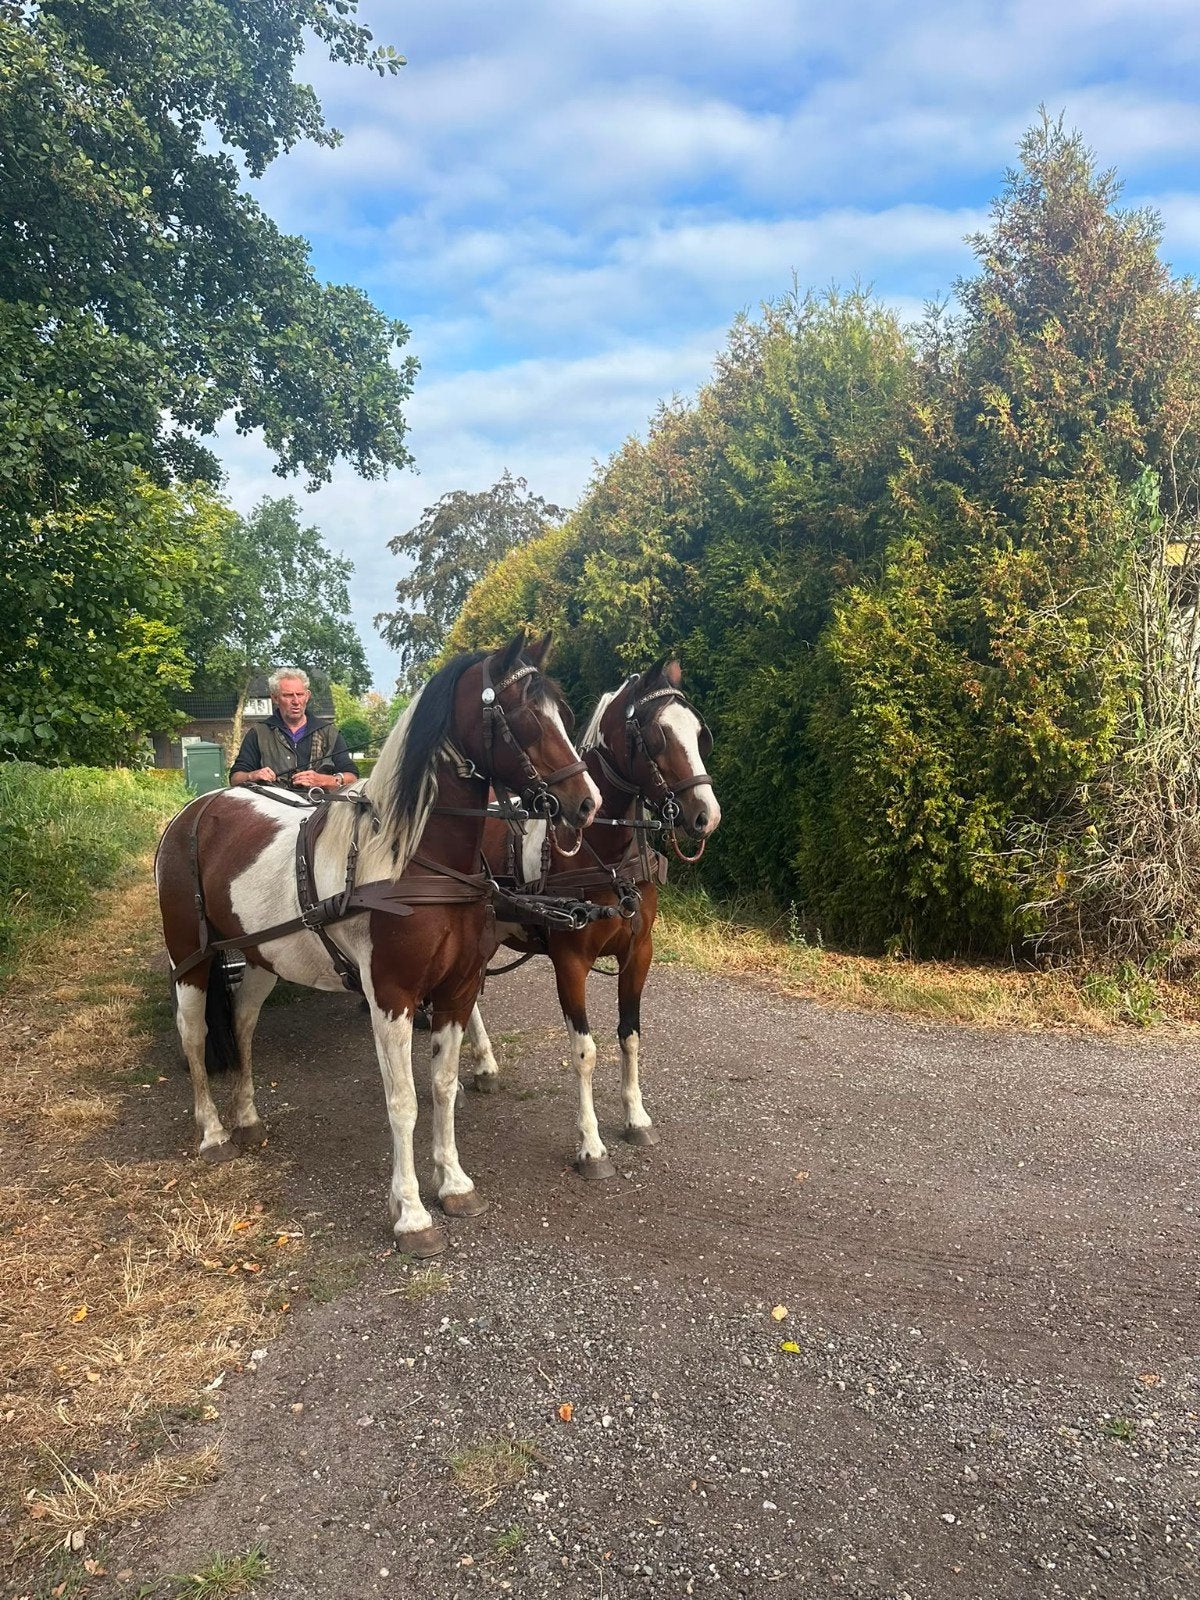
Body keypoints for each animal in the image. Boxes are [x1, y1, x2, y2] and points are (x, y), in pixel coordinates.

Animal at [155, 634, 600, 1257]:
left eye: (562, 713)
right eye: (523, 716)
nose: (587, 803)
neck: (414, 859)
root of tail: (195, 811)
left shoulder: (457, 991)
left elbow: (443, 1086)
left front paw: (454, 1184)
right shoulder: (391, 996)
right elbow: (403, 1102)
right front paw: (411, 1213)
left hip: (264, 957)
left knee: (242, 1024)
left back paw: (246, 1116)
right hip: (190, 960)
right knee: (194, 1035)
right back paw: (214, 1131)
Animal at [463, 659, 721, 1177]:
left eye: (699, 734)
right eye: (658, 736)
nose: (708, 815)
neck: (604, 854)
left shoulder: (638, 953)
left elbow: (630, 1036)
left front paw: (636, 1118)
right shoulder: (570, 962)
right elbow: (584, 1052)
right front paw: (591, 1145)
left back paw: (485, 1064)